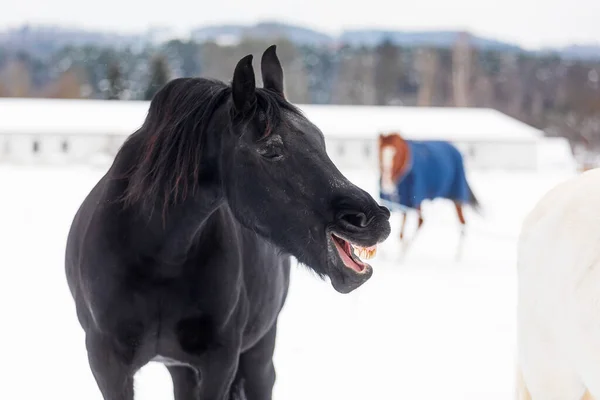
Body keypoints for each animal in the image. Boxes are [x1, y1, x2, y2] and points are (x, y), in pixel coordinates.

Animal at [65, 44, 392, 400]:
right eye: (270, 150)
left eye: (320, 140)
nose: (372, 218)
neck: (156, 256)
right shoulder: (108, 366)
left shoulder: (220, 363)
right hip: (182, 367)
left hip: (258, 353)